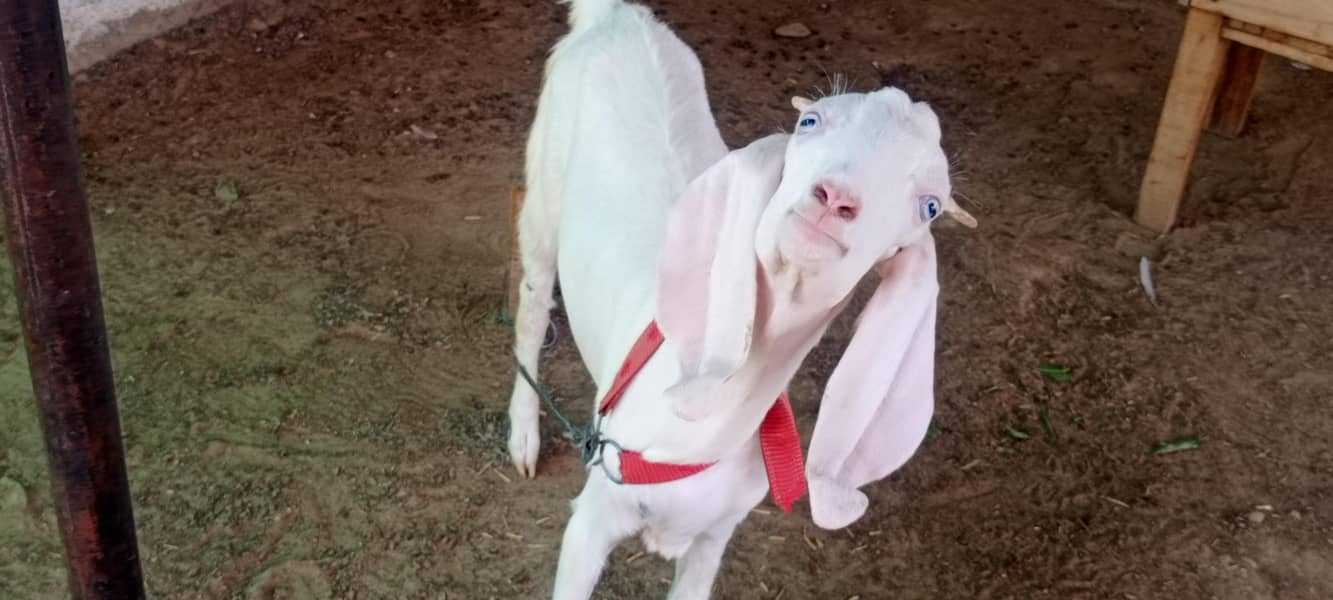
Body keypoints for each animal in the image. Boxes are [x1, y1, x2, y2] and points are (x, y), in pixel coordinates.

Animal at [506, 0, 976, 597]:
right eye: (809, 121)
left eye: (931, 205)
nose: (835, 199)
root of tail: (618, 16)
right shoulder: (593, 516)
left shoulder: (714, 537)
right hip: (544, 191)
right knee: (532, 302)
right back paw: (524, 436)